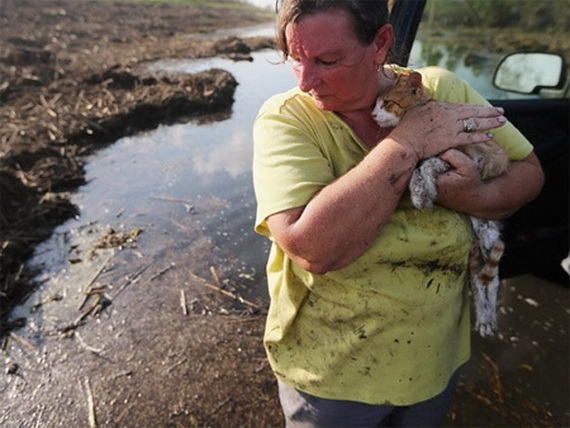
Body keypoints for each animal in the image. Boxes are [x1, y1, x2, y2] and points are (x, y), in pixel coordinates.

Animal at [370, 71, 508, 338]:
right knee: (479, 276)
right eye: (375, 104)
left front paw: (425, 188)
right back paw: (484, 317)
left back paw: (488, 316)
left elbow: (427, 164)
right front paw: (419, 191)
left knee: (492, 278)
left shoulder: (458, 155)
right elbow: (415, 170)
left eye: (387, 103)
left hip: (487, 231)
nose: (372, 114)